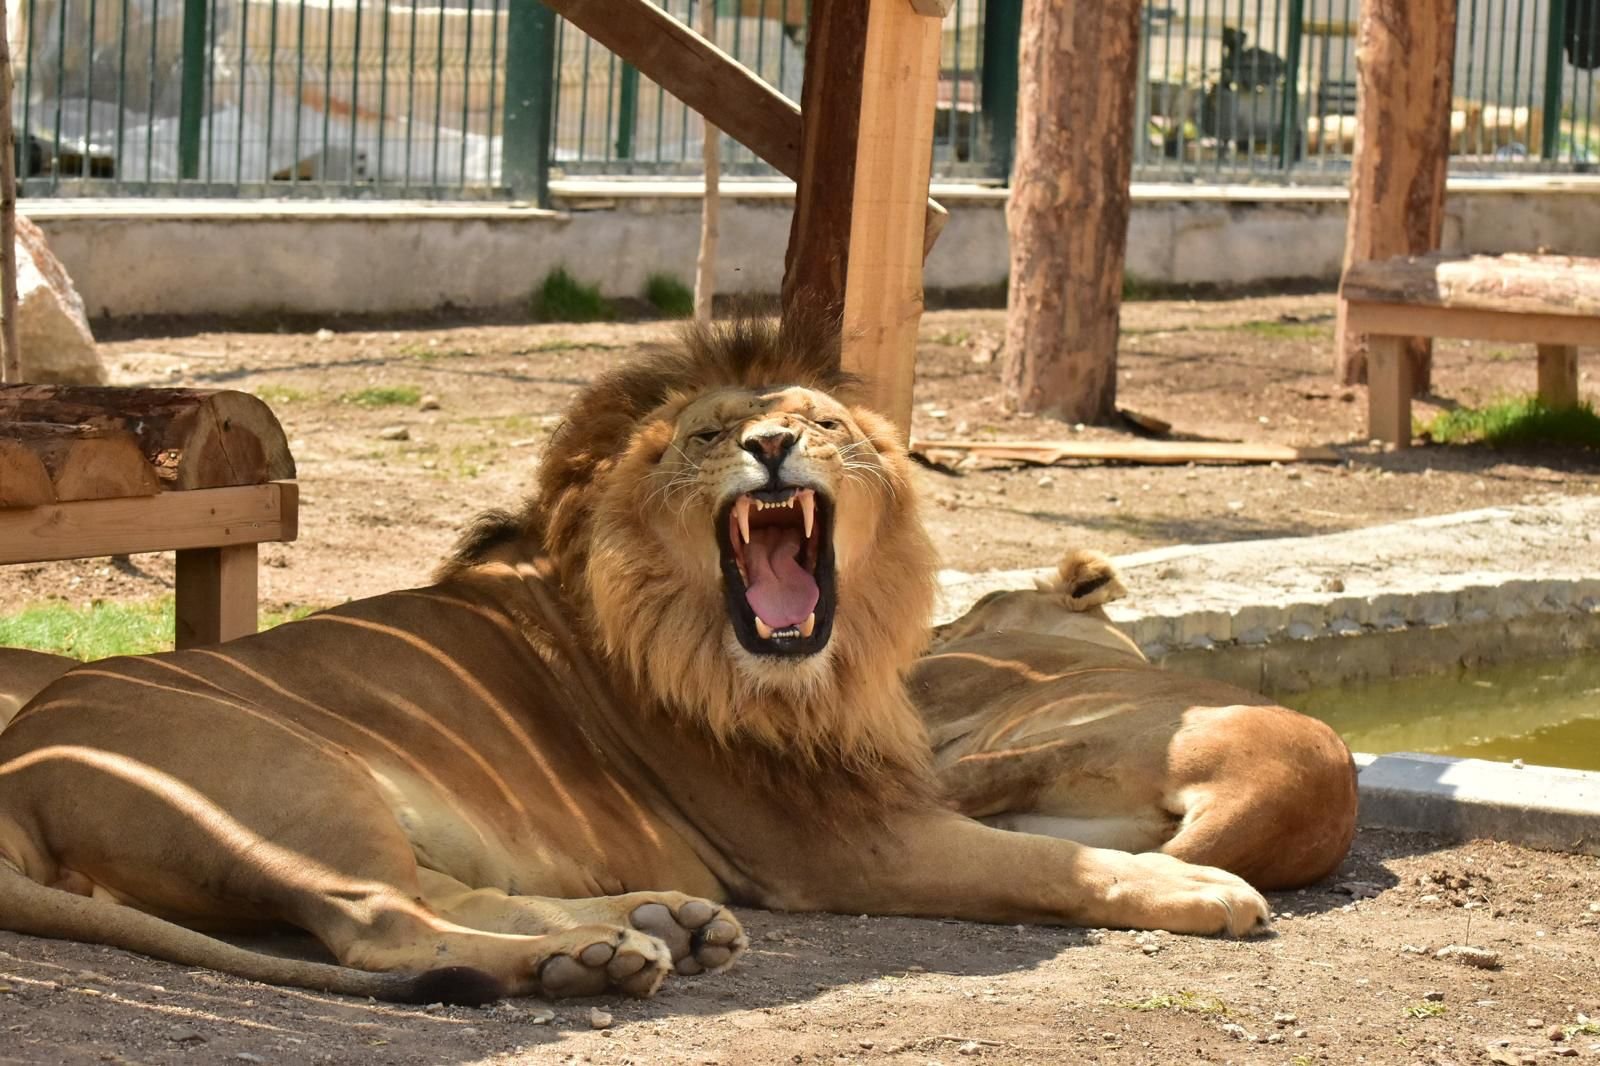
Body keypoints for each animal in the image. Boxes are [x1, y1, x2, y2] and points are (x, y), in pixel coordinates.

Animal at [0, 318, 1354, 1004]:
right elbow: (1048, 864)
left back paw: (644, 928)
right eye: (708, 435)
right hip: (293, 774)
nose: (768, 445)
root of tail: (22, 752)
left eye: (818, 423)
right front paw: (1201, 890)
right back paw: (574, 961)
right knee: (383, 928)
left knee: (440, 896)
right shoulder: (851, 843)